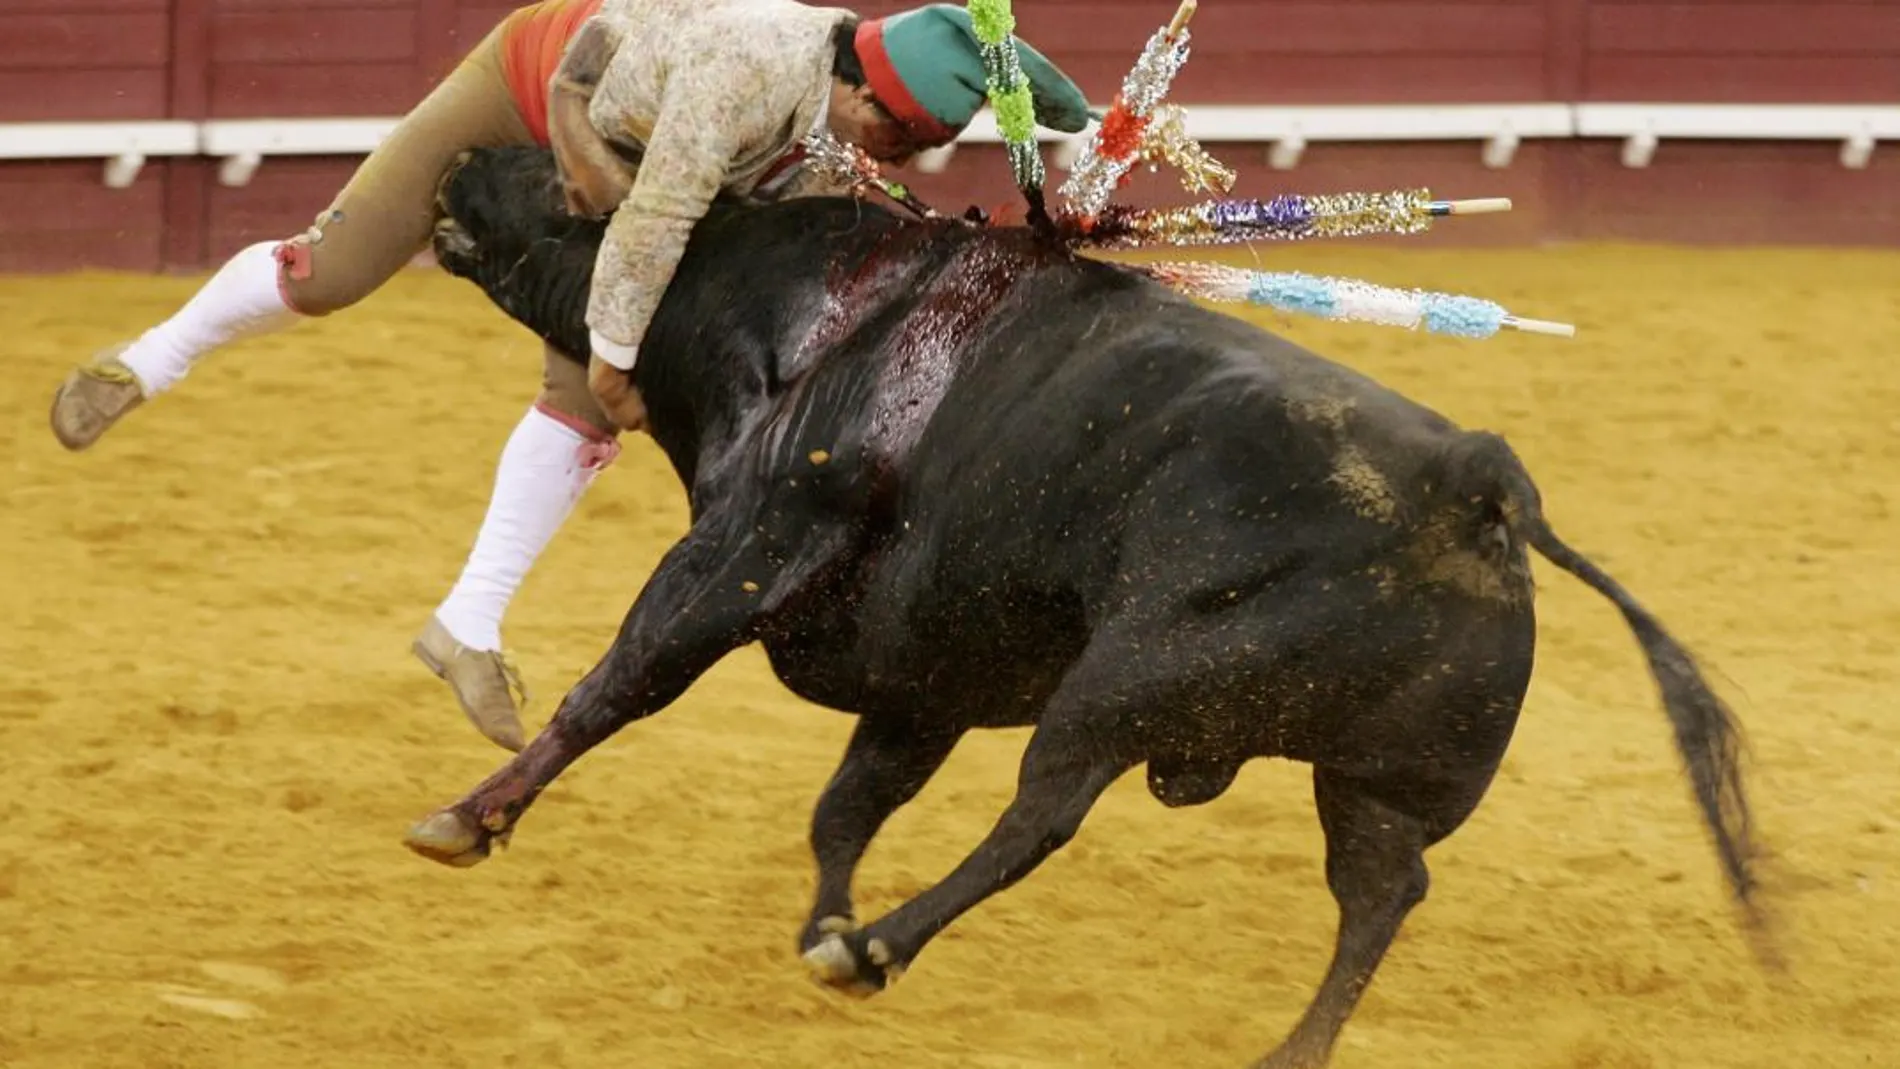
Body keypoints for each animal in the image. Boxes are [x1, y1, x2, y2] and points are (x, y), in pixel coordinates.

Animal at [404, 146, 1778, 1063]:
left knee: (1044, 813)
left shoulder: (741, 549)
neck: (795, 302)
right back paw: (1283, 1049)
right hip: (1380, 779)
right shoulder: (924, 674)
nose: (462, 156)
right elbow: (846, 803)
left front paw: (466, 817)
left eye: (559, 177)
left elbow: (615, 687)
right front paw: (821, 921)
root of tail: (1476, 478)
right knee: (1380, 894)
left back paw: (883, 945)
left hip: (1129, 681)